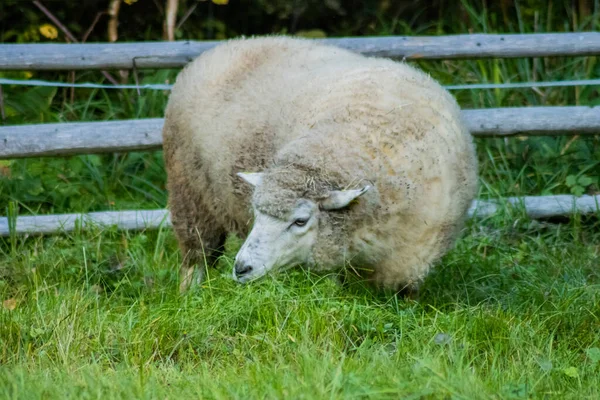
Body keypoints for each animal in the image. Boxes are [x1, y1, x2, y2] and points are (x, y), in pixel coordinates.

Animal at [161, 36, 478, 294]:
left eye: (300, 220)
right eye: (256, 212)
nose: (241, 268)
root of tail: (228, 45)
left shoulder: (411, 261)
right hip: (190, 196)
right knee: (197, 258)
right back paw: (190, 298)